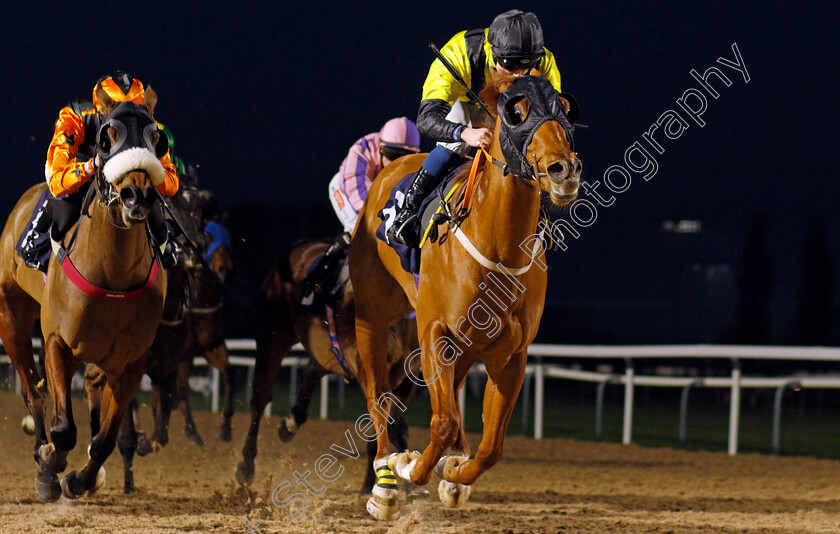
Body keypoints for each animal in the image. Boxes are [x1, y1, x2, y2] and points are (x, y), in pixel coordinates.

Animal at [0, 86, 169, 504]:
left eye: (156, 139)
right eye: (108, 137)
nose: (137, 195)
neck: (112, 274)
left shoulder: (130, 363)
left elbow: (105, 438)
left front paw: (81, 479)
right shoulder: (57, 342)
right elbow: (63, 431)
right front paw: (50, 467)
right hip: (11, 317)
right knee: (33, 392)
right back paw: (42, 457)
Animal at [235, 241, 420, 496]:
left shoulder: (407, 379)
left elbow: (388, 428)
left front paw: (374, 484)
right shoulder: (366, 369)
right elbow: (391, 424)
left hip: (327, 351)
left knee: (312, 370)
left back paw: (290, 423)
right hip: (272, 336)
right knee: (260, 398)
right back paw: (246, 465)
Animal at [352, 73, 580, 520]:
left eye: (564, 109)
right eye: (516, 112)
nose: (564, 169)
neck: (499, 247)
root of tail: (391, 168)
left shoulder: (510, 354)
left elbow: (491, 446)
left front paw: (454, 472)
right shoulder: (434, 332)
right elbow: (441, 423)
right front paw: (408, 466)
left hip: (467, 345)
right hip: (371, 315)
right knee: (377, 396)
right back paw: (385, 481)